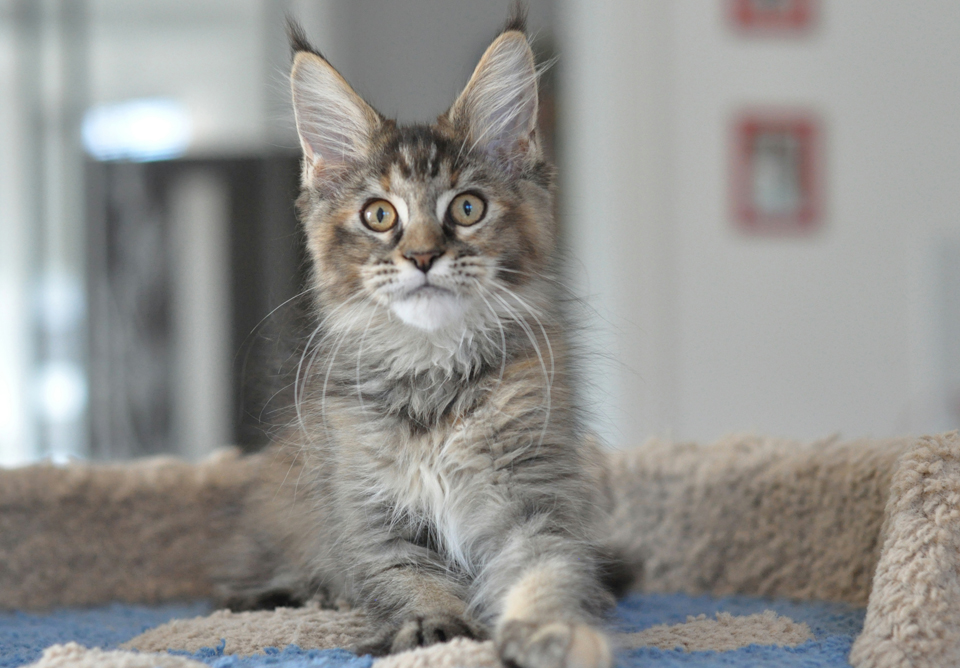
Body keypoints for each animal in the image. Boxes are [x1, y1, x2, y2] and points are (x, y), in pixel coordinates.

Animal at [218, 10, 616, 668]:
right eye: (380, 215)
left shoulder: (534, 493)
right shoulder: (366, 507)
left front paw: (554, 630)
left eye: (468, 208)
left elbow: (548, 568)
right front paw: (436, 628)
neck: (435, 377)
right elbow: (405, 576)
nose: (424, 255)